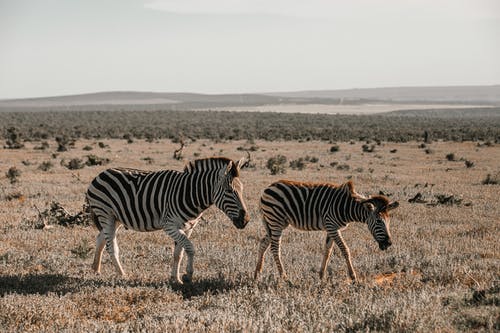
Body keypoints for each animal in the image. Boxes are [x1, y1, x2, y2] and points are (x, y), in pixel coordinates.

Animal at [87, 156, 250, 282]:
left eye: (242, 190)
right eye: (229, 191)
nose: (246, 220)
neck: (190, 193)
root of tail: (101, 173)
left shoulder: (188, 228)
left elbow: (179, 253)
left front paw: (175, 278)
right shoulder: (170, 226)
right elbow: (190, 248)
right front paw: (188, 275)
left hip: (116, 218)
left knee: (100, 239)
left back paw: (95, 269)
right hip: (106, 213)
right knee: (111, 246)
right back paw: (122, 275)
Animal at [254, 180, 398, 282]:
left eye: (389, 222)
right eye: (379, 221)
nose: (389, 243)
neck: (346, 207)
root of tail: (266, 189)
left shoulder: (331, 228)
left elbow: (327, 251)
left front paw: (321, 276)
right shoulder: (332, 226)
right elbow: (345, 250)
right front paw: (353, 277)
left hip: (276, 223)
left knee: (263, 243)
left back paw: (256, 274)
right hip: (276, 221)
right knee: (275, 248)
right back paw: (284, 277)